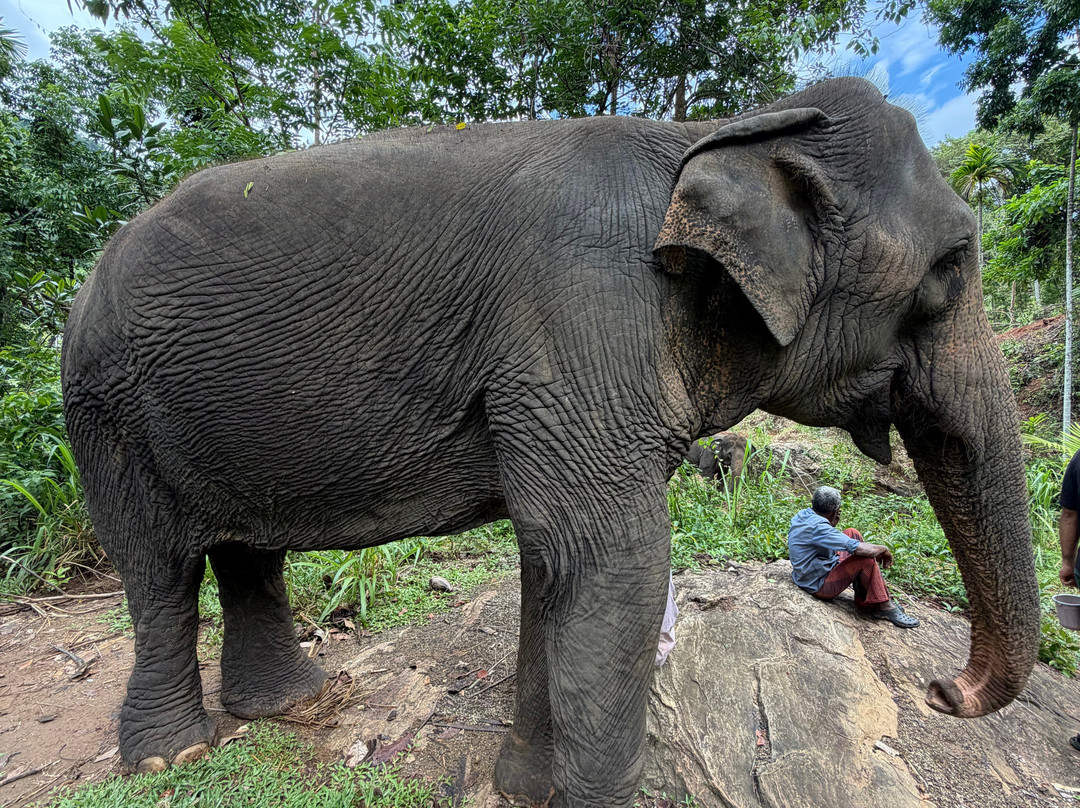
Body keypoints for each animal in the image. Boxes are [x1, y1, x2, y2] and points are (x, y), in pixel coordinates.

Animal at [61, 77, 1039, 807]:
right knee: (159, 569)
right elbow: (615, 564)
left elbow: (553, 565)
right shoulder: (581, 318)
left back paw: (292, 705)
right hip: (108, 412)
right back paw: (174, 757)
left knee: (245, 552)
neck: (711, 135)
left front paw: (526, 787)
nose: (944, 692)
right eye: (953, 267)